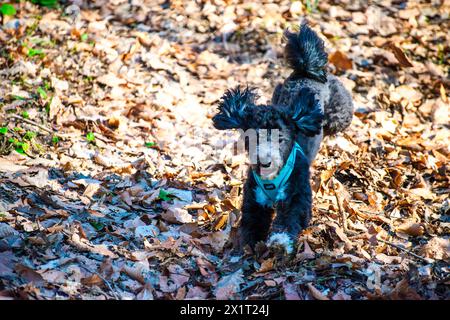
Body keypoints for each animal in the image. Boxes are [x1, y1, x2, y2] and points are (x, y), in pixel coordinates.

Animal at [213, 23, 354, 255]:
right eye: (252, 138)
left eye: (280, 138)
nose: (264, 160)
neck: (272, 179)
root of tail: (306, 72)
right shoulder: (255, 198)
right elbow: (253, 221)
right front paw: (249, 244)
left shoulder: (296, 196)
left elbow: (290, 218)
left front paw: (279, 241)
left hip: (340, 113)